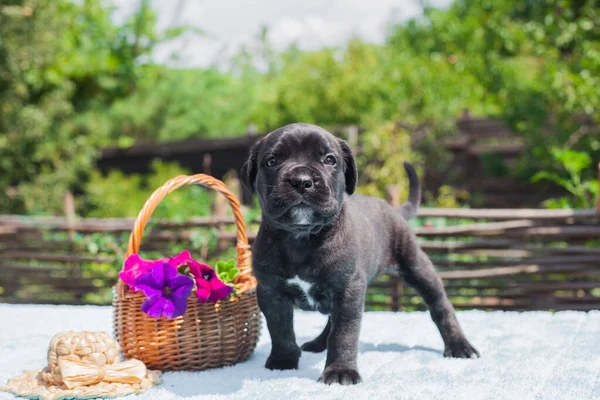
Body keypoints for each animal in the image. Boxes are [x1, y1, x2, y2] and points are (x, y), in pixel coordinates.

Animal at [241, 123, 480, 386]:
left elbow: (344, 333)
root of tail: (393, 210)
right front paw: (283, 361)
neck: (301, 237)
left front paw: (340, 371)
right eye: (272, 161)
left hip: (416, 266)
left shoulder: (348, 288)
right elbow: (281, 329)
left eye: (329, 159)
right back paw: (318, 344)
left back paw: (459, 346)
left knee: (440, 305)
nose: (301, 181)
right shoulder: (271, 291)